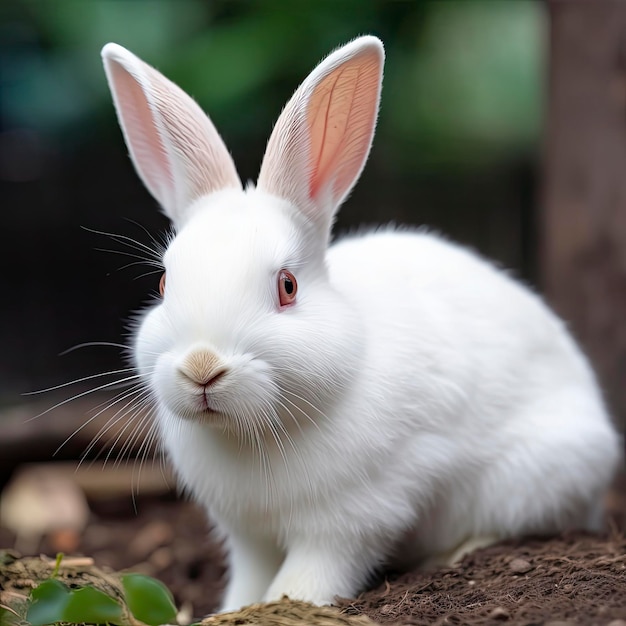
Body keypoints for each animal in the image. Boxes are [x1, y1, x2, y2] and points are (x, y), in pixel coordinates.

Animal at [101, 35, 620, 608]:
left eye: (288, 286)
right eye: (163, 285)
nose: (202, 367)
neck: (253, 433)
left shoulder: (354, 518)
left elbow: (309, 576)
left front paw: (286, 604)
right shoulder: (247, 534)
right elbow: (251, 578)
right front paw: (233, 610)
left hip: (536, 477)